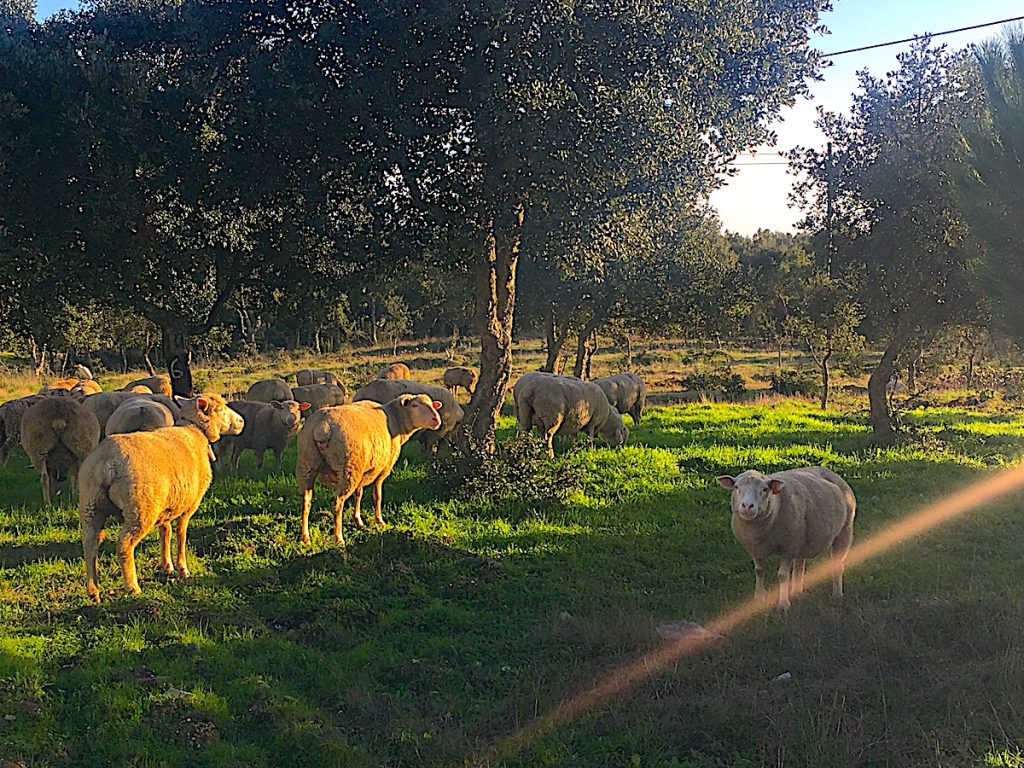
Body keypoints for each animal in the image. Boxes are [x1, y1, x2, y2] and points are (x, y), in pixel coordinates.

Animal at [77, 397, 243, 602]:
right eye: (220, 409)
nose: (241, 422)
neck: (194, 431)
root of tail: (108, 462)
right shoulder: (189, 505)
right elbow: (181, 534)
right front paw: (182, 568)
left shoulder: (168, 505)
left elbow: (166, 532)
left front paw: (167, 565)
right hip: (140, 510)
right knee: (124, 546)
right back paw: (132, 587)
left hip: (90, 504)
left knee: (89, 544)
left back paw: (93, 591)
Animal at [294, 397, 442, 548]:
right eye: (414, 405)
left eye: (432, 404)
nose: (436, 419)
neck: (396, 419)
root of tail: (323, 427)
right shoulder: (383, 468)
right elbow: (377, 495)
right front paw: (380, 521)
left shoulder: (363, 471)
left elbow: (358, 494)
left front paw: (358, 520)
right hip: (348, 469)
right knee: (337, 503)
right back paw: (338, 538)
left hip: (307, 464)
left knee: (306, 501)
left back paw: (305, 537)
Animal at [712, 468, 856, 614]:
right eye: (736, 487)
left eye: (765, 489)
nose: (747, 506)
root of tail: (829, 471)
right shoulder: (755, 547)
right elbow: (759, 570)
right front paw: (759, 596)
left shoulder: (789, 547)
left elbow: (782, 576)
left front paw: (783, 605)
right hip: (802, 538)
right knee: (799, 565)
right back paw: (797, 592)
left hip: (844, 531)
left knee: (837, 565)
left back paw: (837, 595)